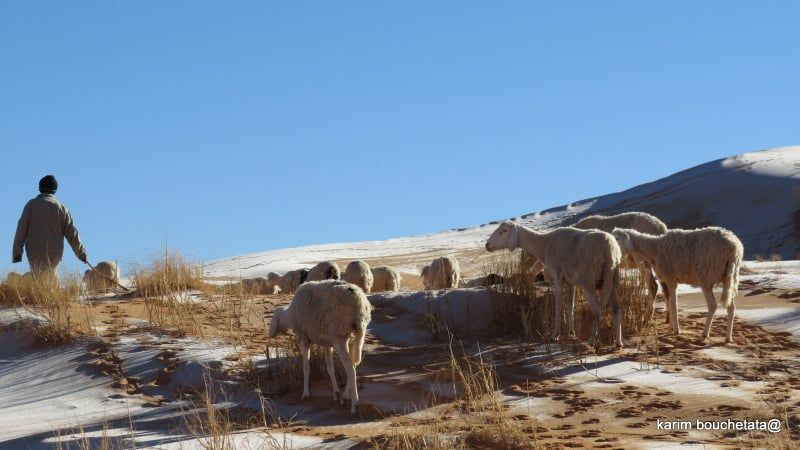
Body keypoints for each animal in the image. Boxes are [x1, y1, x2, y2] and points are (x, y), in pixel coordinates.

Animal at [266, 282, 372, 414]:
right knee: (353, 364)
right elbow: (330, 368)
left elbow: (306, 367)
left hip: (339, 337)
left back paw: (354, 404)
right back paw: (345, 396)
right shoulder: (327, 343)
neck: (290, 315)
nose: (270, 334)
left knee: (351, 369)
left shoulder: (304, 339)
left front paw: (305, 393)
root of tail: (360, 303)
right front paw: (336, 393)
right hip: (355, 337)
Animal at [484, 223, 620, 346]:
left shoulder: (557, 276)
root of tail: (609, 249)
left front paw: (555, 335)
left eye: (504, 230)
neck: (544, 244)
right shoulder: (570, 282)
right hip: (612, 278)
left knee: (597, 310)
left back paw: (592, 340)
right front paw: (571, 332)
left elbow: (558, 305)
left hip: (588, 279)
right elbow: (570, 306)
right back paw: (618, 342)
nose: (487, 245)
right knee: (617, 309)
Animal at [612, 227, 744, 342]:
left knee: (712, 305)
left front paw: (676, 330)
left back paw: (705, 333)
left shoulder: (671, 278)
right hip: (730, 277)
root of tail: (734, 249)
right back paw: (728, 338)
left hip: (707, 276)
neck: (655, 249)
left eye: (617, 238)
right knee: (731, 307)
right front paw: (671, 326)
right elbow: (670, 302)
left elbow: (673, 304)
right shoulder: (669, 279)